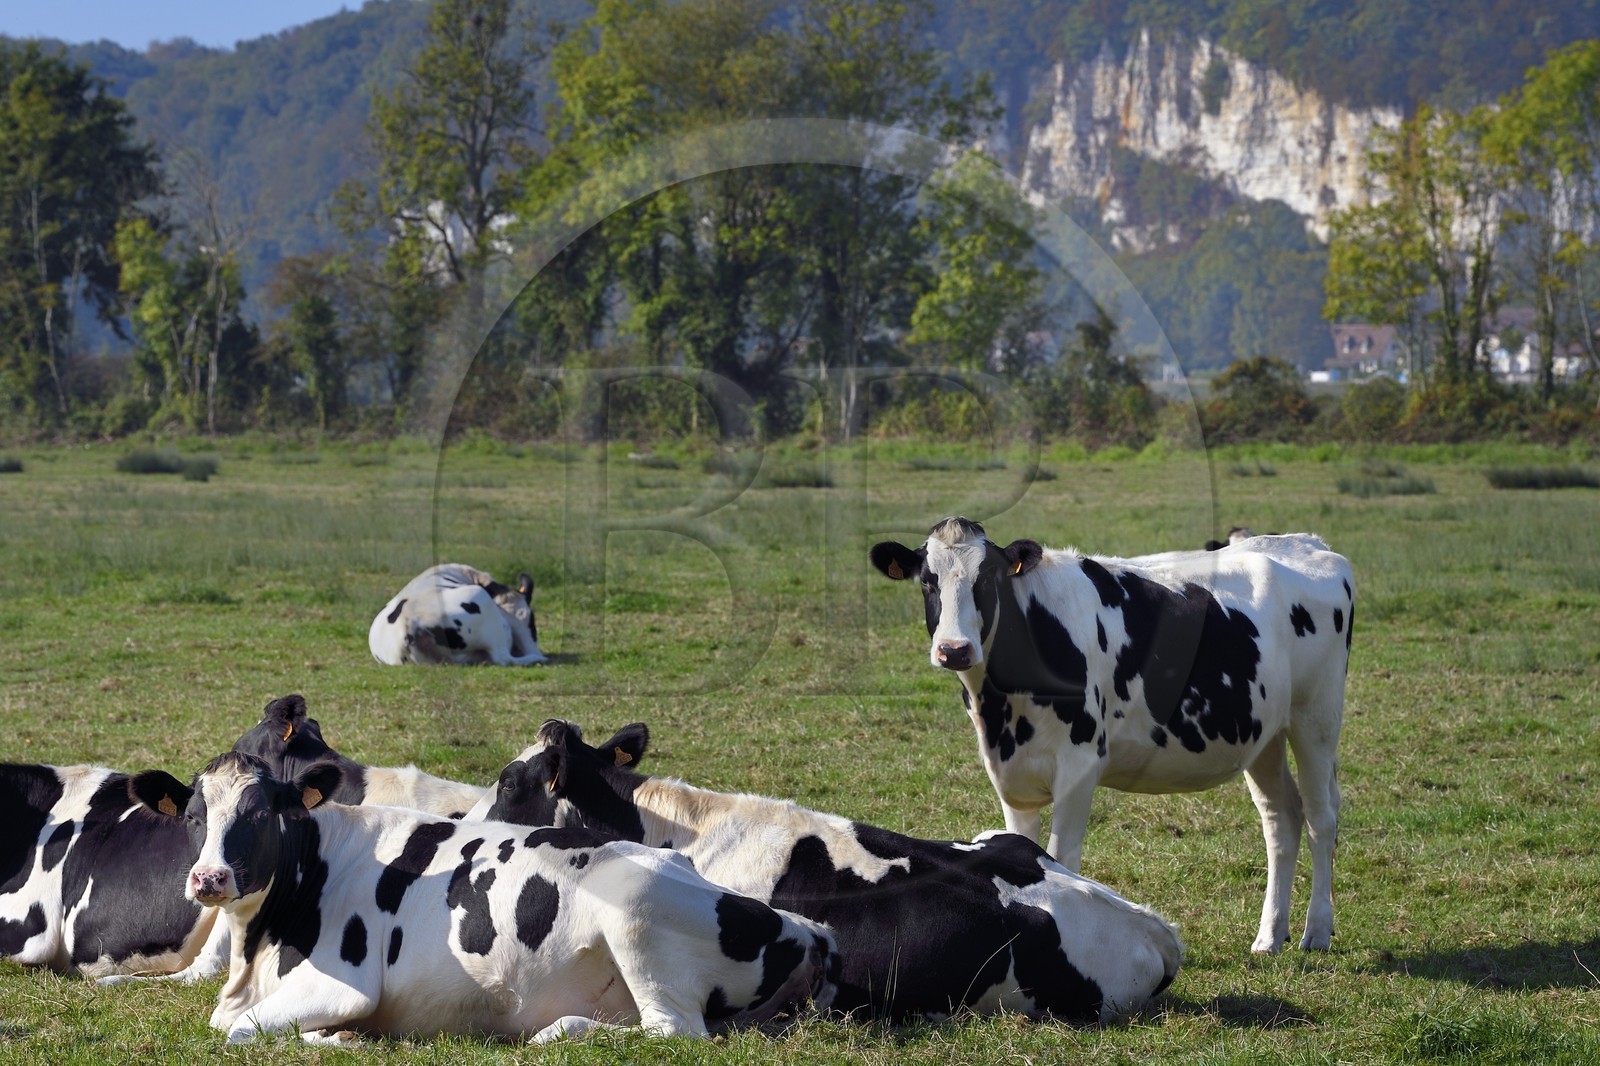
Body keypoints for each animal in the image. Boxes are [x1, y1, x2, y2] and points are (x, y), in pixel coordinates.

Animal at [127, 752, 835, 1045]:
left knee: (674, 1031)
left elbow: (234, 1030)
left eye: (259, 814)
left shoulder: (343, 984)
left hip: (634, 913)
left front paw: (340, 1039)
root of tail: (805, 930)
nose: (210, 878)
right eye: (194, 816)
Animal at [369, 563, 547, 666]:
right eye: (532, 623)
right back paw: (536, 659)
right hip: (481, 599)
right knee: (503, 658)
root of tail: (407, 623)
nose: (535, 651)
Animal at [870, 517, 1354, 954]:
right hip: (1264, 734)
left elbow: (1061, 859)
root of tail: (1306, 542)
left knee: (1321, 817)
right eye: (927, 581)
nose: (954, 650)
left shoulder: (1080, 765)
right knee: (1281, 819)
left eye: (987, 578)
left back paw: (1317, 932)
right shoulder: (1011, 774)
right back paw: (1270, 936)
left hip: (1316, 718)